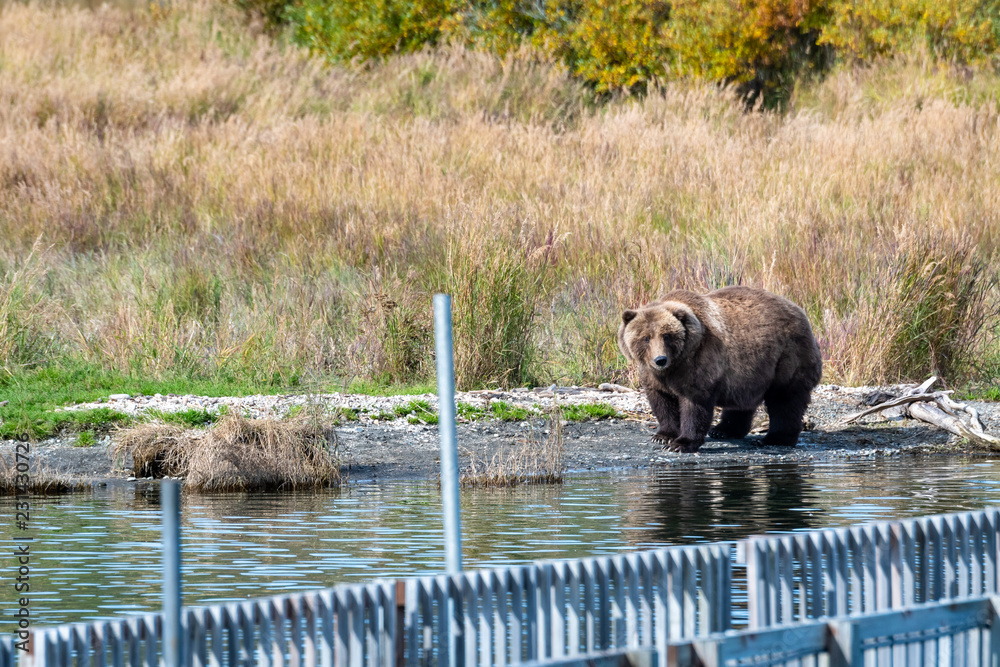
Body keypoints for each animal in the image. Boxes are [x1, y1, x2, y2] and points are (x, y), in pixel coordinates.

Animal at [617, 286, 822, 453]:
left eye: (667, 336)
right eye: (645, 338)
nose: (660, 360)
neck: (676, 363)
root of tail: (799, 310)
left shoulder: (699, 363)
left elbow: (695, 404)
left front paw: (681, 443)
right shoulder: (654, 375)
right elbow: (662, 401)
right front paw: (663, 436)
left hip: (787, 356)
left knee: (784, 399)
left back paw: (774, 439)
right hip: (751, 370)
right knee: (743, 400)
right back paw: (724, 430)